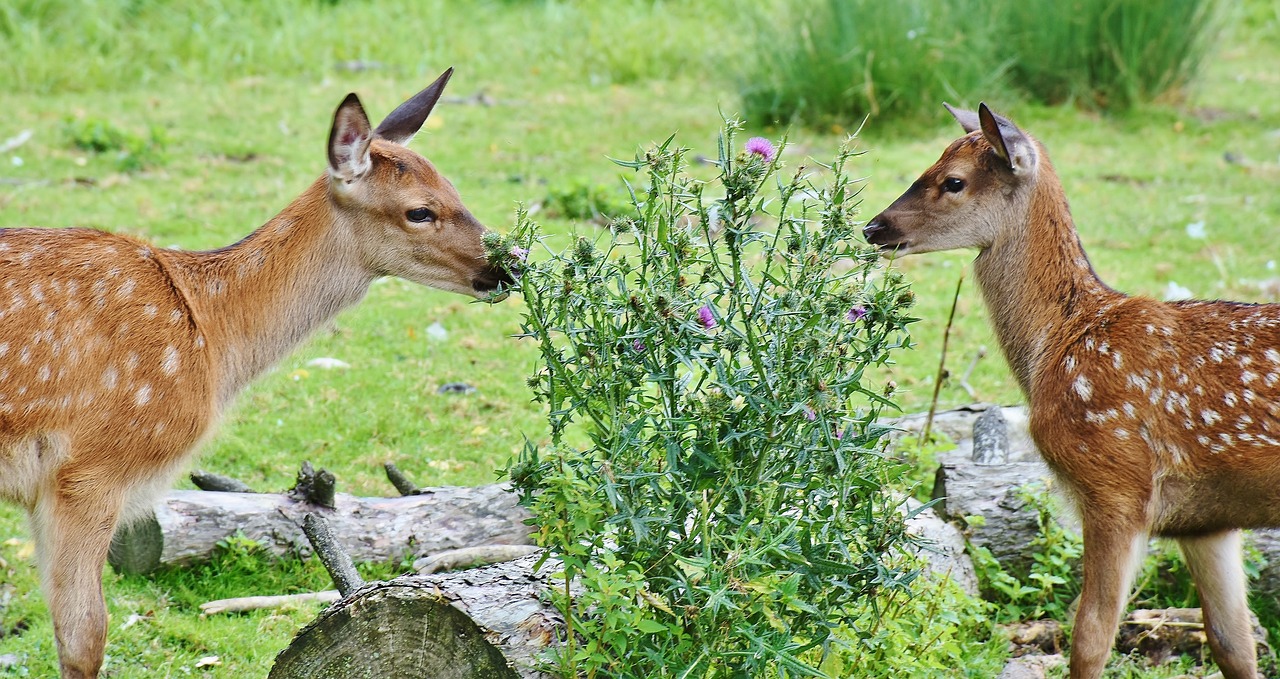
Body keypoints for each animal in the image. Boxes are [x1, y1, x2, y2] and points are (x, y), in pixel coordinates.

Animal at [0, 70, 514, 676]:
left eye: (455, 189)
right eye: (419, 211)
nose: (509, 264)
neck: (211, 334)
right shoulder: (91, 467)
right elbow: (84, 635)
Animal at [865, 101, 1274, 676]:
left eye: (953, 181)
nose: (873, 227)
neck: (1058, 344)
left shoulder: (1114, 482)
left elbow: (1090, 637)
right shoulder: (1206, 519)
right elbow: (1232, 643)